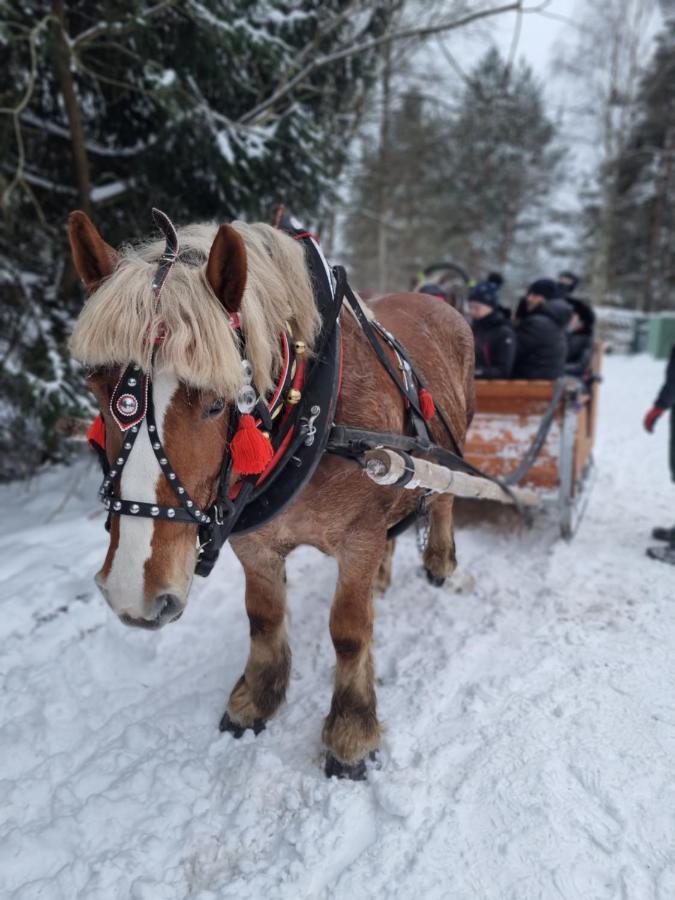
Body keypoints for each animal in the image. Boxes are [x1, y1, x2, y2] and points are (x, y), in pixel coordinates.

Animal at [66, 211, 472, 780]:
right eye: (98, 386)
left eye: (218, 403)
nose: (134, 593)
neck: (312, 418)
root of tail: (437, 298)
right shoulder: (255, 542)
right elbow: (263, 617)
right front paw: (256, 698)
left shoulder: (359, 537)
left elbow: (349, 630)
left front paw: (352, 730)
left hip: (449, 446)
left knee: (444, 497)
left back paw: (440, 560)